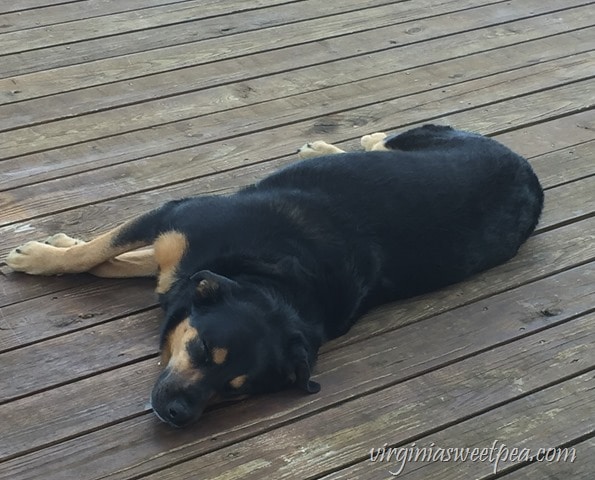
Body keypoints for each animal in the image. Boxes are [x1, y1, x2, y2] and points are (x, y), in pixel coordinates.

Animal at [4, 124, 544, 428]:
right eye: (202, 351)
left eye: (235, 389)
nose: (179, 416)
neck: (267, 275)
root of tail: (531, 174)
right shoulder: (173, 218)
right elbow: (100, 252)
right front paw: (46, 254)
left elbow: (118, 261)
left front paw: (54, 252)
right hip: (430, 136)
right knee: (387, 140)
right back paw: (336, 144)